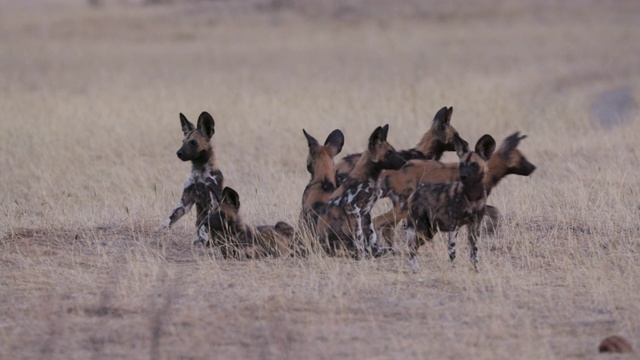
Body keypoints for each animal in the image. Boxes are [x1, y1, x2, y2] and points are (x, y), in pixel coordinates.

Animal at [160, 111, 225, 246]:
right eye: (183, 141)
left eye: (193, 142)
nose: (178, 153)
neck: (199, 172)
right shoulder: (185, 202)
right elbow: (171, 217)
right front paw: (161, 228)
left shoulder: (212, 203)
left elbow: (204, 225)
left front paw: (201, 240)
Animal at [316, 124, 404, 258]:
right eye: (389, 152)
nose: (405, 161)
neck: (372, 178)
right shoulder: (352, 209)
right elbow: (359, 236)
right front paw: (363, 254)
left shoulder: (366, 212)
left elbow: (372, 236)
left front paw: (375, 252)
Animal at [376, 132, 536, 242]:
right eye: (522, 158)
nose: (534, 167)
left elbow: (494, 212)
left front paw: (492, 230)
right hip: (402, 208)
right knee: (378, 222)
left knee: (386, 227)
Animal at [404, 135, 496, 272]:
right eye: (461, 165)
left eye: (474, 165)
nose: (463, 176)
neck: (472, 195)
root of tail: (414, 193)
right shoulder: (454, 226)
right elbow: (452, 252)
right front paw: (454, 271)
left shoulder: (474, 225)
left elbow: (474, 252)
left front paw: (476, 270)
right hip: (424, 230)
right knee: (411, 247)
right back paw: (415, 270)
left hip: (430, 231)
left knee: (413, 247)